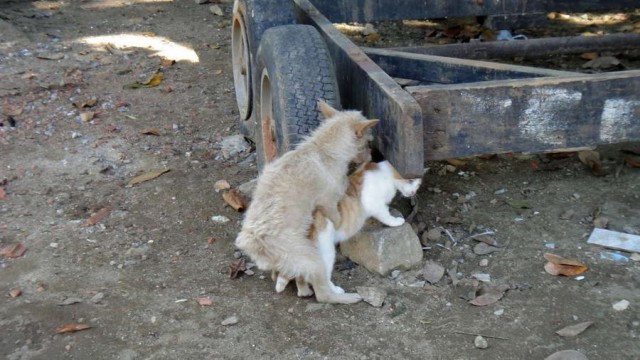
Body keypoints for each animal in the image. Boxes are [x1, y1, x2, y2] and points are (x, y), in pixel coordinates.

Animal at [234, 100, 376, 304]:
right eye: (368, 142)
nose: (372, 157)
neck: (322, 148)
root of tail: (253, 243)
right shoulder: (329, 202)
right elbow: (337, 218)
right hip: (312, 259)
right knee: (323, 294)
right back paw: (348, 297)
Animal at [274, 160, 420, 296]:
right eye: (413, 184)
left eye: (418, 186)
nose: (413, 194)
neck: (385, 173)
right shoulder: (374, 204)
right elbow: (385, 214)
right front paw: (396, 221)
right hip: (326, 250)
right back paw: (334, 291)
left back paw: (301, 290)